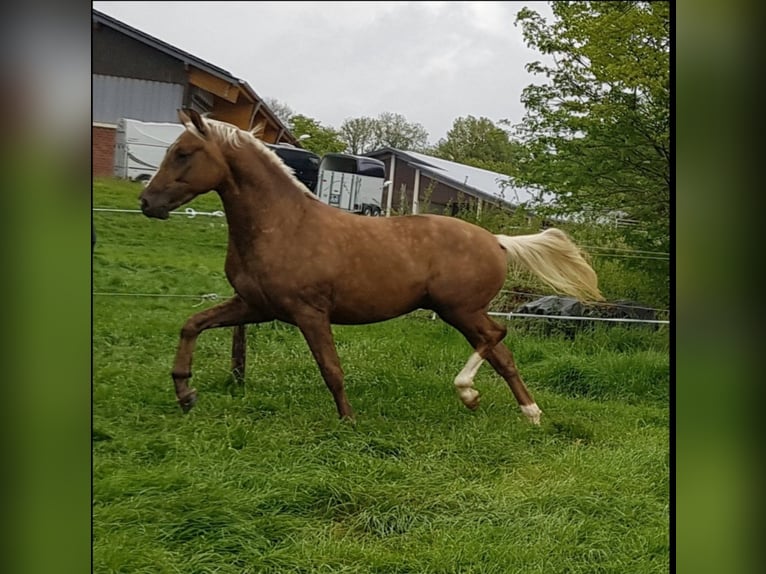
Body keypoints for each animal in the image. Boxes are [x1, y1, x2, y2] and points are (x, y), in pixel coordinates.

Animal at [140, 109, 608, 424]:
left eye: (184, 153)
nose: (148, 203)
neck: (284, 225)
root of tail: (496, 239)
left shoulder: (309, 312)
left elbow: (331, 369)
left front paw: (348, 421)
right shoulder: (255, 306)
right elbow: (192, 324)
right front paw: (185, 393)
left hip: (459, 309)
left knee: (496, 337)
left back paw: (470, 392)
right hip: (460, 312)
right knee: (502, 354)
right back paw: (526, 412)